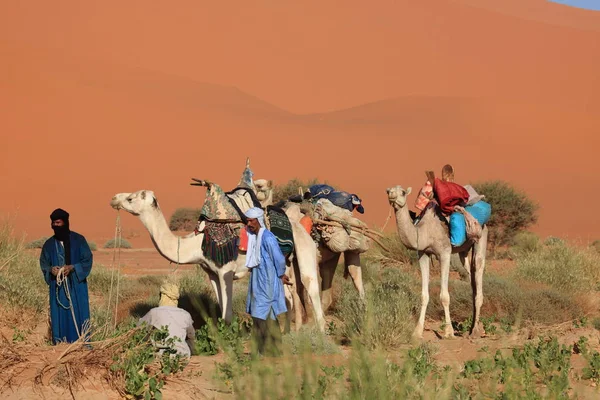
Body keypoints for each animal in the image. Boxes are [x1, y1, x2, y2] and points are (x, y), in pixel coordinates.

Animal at [106, 190, 324, 332]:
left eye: (131, 198)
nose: (114, 198)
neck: (196, 243)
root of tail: (301, 228)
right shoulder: (211, 272)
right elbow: (222, 310)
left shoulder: (226, 270)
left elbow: (227, 314)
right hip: (283, 264)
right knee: (288, 296)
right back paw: (285, 334)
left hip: (304, 251)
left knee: (311, 288)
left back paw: (321, 339)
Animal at [386, 186, 490, 340]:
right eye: (388, 191)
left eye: (403, 192)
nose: (392, 195)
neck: (425, 231)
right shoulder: (422, 254)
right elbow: (424, 296)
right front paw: (417, 332)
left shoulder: (444, 253)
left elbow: (444, 296)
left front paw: (448, 332)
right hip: (464, 251)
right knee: (470, 273)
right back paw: (472, 327)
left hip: (481, 235)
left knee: (478, 266)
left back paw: (476, 331)